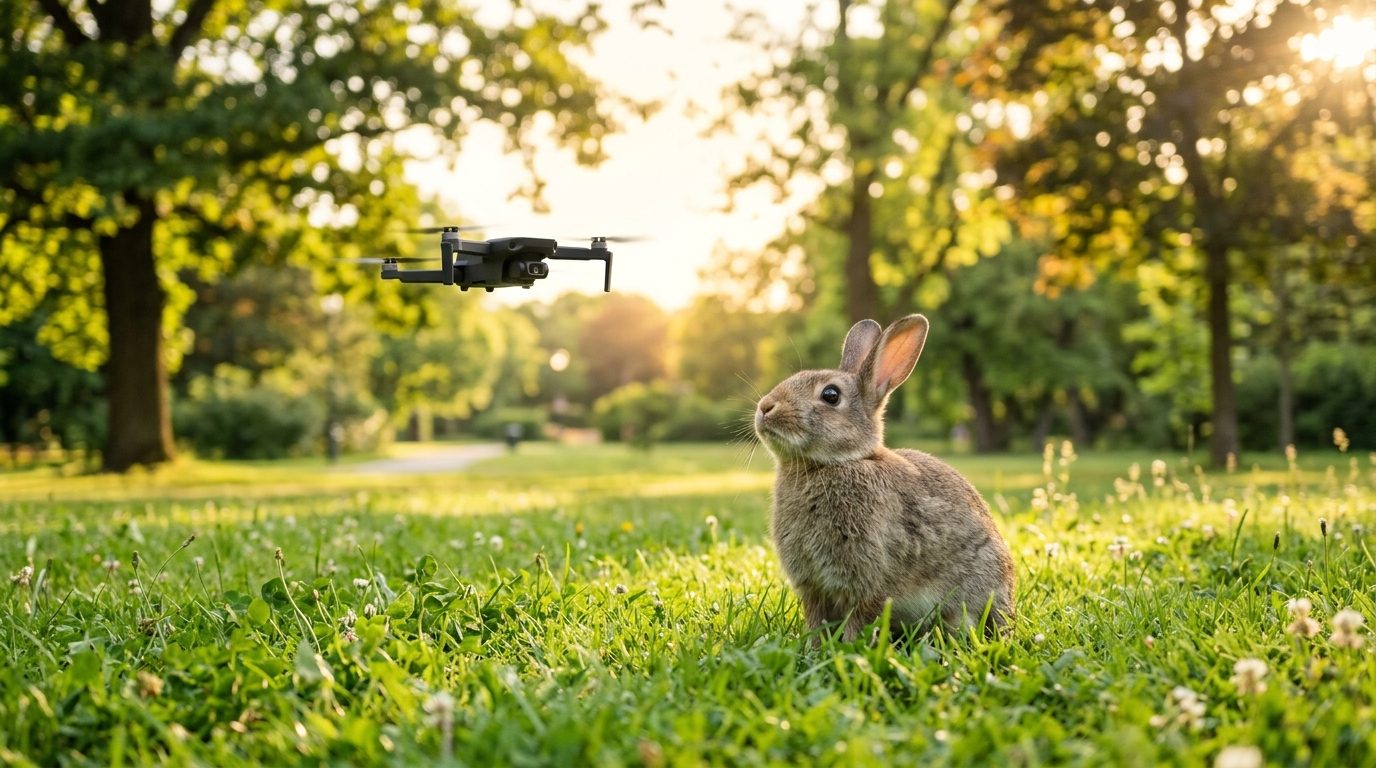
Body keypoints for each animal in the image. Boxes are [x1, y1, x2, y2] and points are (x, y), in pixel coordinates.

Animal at [753, 314, 1015, 642]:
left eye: (831, 395)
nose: (765, 407)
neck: (835, 463)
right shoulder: (813, 587)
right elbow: (817, 622)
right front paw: (814, 648)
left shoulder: (867, 581)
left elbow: (858, 619)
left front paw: (846, 648)